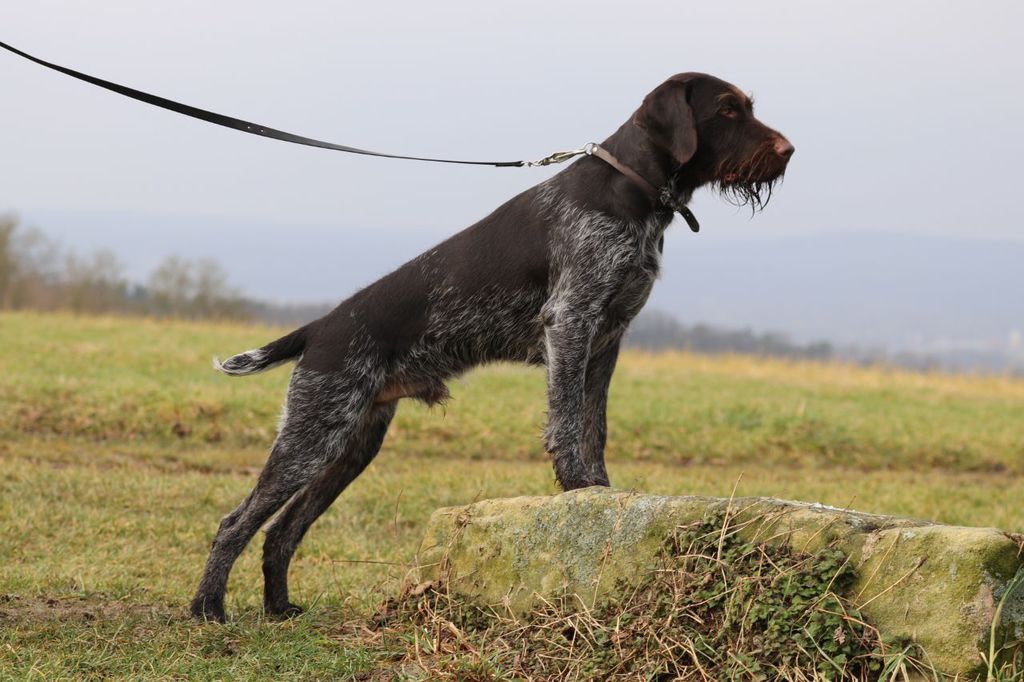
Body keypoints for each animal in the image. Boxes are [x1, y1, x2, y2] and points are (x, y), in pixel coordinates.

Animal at [190, 72, 794, 622]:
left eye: (747, 106)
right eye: (727, 110)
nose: (789, 151)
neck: (634, 192)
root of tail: (319, 327)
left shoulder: (608, 338)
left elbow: (594, 427)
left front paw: (600, 493)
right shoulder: (570, 320)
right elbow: (567, 423)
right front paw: (576, 490)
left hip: (349, 445)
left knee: (282, 530)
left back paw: (279, 608)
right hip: (313, 435)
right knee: (236, 522)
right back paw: (207, 608)